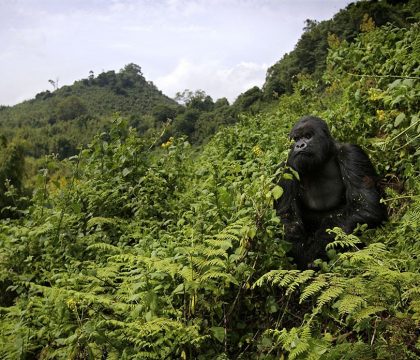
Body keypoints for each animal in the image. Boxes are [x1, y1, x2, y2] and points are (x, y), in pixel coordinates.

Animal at [276, 115, 388, 268]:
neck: (324, 158)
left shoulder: (351, 153)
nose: (299, 146)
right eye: (296, 139)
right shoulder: (287, 167)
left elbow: (365, 206)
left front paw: (312, 256)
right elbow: (287, 218)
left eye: (308, 136)